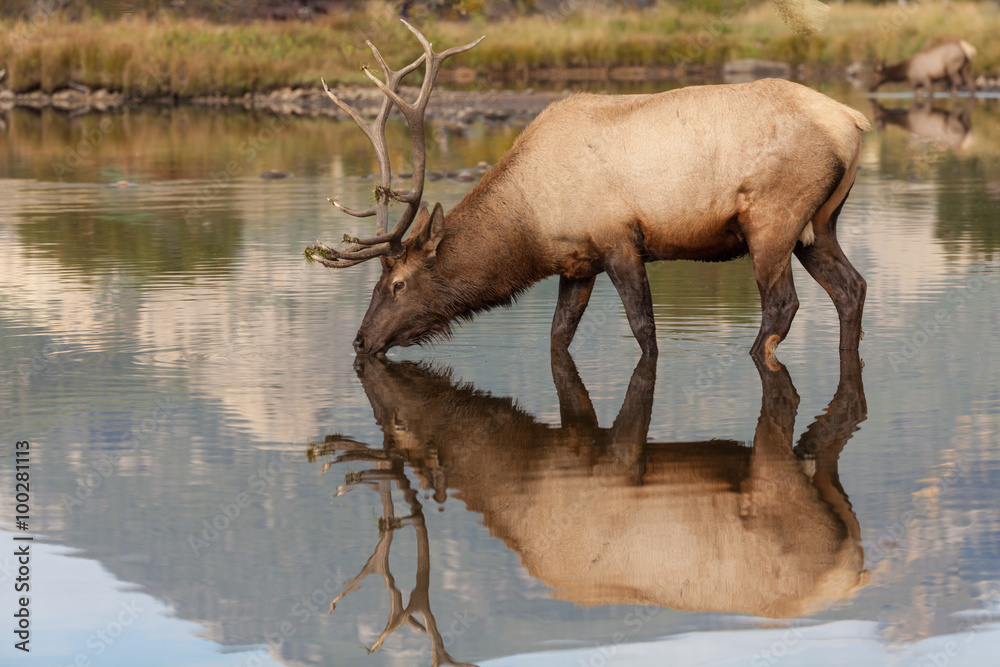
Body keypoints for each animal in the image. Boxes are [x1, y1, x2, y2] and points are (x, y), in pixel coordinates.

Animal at [306, 21, 870, 360]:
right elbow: (559, 336)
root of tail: (853, 119)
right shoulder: (576, 264)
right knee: (852, 288)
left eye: (397, 284)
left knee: (782, 304)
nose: (360, 340)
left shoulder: (618, 239)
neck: (530, 227)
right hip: (819, 224)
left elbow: (644, 330)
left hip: (772, 219)